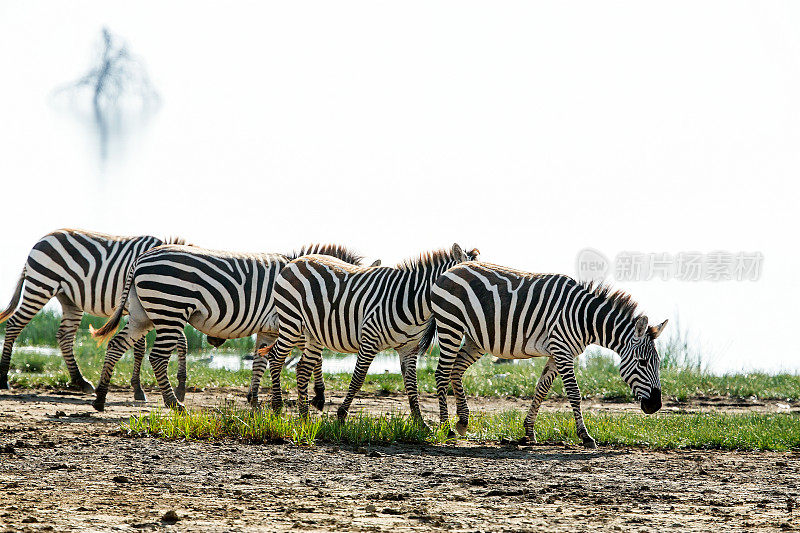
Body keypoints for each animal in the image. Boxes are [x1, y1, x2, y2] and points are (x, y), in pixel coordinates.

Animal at [0, 227, 189, 396]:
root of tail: (44, 237)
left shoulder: (166, 311)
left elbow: (182, 343)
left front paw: (180, 388)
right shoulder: (147, 310)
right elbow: (141, 348)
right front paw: (138, 389)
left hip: (69, 299)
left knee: (65, 336)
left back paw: (80, 381)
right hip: (41, 286)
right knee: (14, 324)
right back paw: (4, 378)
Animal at [89, 243, 364, 410]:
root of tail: (140, 258)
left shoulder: (269, 329)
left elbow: (259, 363)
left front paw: (254, 399)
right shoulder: (294, 325)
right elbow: (315, 359)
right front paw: (319, 396)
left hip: (142, 314)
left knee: (116, 345)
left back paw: (100, 398)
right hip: (170, 309)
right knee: (157, 357)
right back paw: (175, 404)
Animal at [248, 243, 482, 422]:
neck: (411, 301)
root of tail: (295, 261)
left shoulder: (408, 348)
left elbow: (412, 383)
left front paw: (420, 423)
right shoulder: (370, 340)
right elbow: (358, 377)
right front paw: (342, 415)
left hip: (313, 333)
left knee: (302, 368)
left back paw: (305, 416)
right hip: (291, 322)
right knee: (275, 358)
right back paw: (277, 407)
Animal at [418, 260, 668, 446]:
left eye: (657, 364)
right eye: (642, 362)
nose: (655, 405)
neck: (584, 318)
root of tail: (451, 269)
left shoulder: (558, 353)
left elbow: (541, 389)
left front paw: (529, 431)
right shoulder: (562, 349)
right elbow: (574, 393)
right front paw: (585, 436)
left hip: (474, 339)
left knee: (456, 370)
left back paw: (462, 422)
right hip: (451, 326)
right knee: (441, 374)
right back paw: (446, 428)